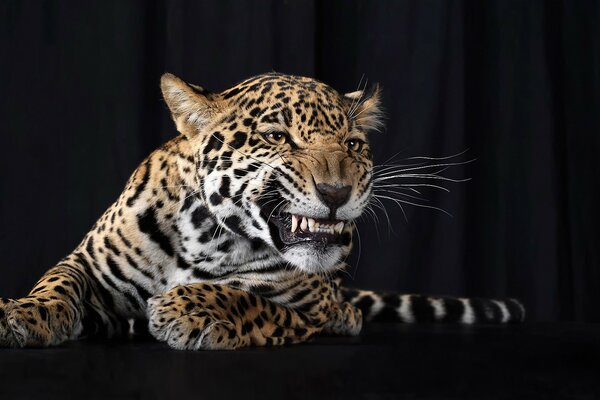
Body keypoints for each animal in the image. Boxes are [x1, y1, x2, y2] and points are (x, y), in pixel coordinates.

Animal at [0, 72, 524, 350]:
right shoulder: (89, 263)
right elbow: (58, 282)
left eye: (353, 145)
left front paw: (182, 308)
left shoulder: (306, 309)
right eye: (277, 137)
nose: (336, 192)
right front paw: (23, 315)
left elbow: (242, 298)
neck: (204, 237)